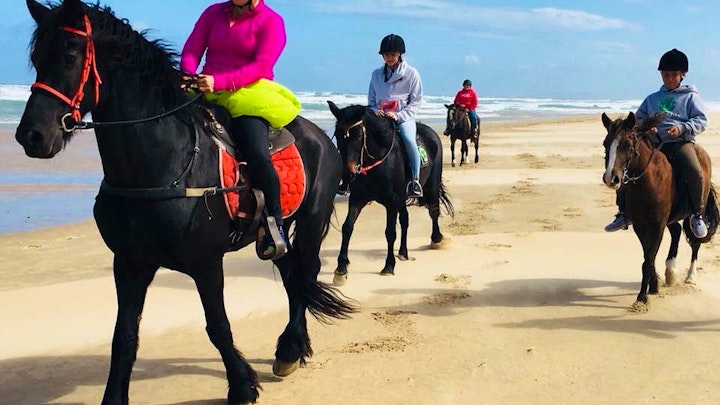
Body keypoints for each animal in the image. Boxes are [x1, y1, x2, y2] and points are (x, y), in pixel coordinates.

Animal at [17, 1, 355, 404]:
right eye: (36, 58)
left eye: (69, 57)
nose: (30, 136)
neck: (164, 164)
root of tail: (321, 136)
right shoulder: (129, 263)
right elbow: (123, 337)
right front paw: (114, 396)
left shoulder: (206, 262)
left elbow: (217, 326)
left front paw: (242, 387)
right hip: (276, 237)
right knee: (293, 278)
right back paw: (291, 350)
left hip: (311, 222)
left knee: (304, 274)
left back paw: (290, 347)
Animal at [327, 101, 454, 285]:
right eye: (337, 135)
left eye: (357, 136)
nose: (347, 175)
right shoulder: (358, 199)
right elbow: (347, 227)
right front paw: (341, 270)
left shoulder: (391, 202)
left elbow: (390, 232)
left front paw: (388, 266)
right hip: (402, 199)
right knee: (406, 220)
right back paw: (403, 252)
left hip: (431, 185)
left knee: (433, 210)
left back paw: (437, 240)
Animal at [601, 112, 719, 305]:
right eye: (606, 144)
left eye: (627, 145)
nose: (611, 178)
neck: (647, 181)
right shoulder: (641, 225)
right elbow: (648, 257)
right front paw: (653, 286)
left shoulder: (657, 226)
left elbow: (648, 260)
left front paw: (642, 297)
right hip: (670, 218)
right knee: (677, 231)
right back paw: (670, 271)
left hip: (695, 211)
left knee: (695, 242)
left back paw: (690, 276)